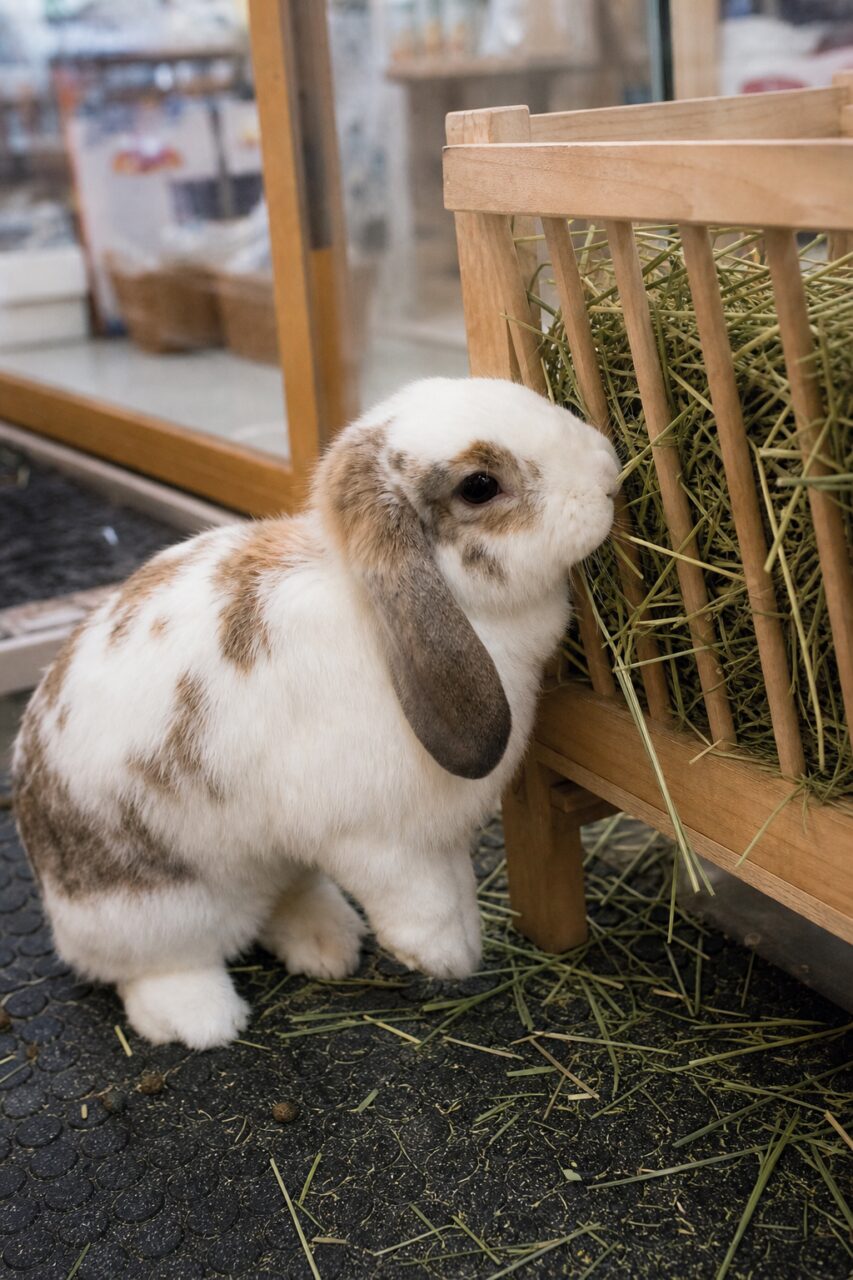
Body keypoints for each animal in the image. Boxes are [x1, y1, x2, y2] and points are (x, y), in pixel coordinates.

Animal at [12, 377, 620, 1050]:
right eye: (480, 486)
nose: (609, 473)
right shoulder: (377, 840)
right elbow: (423, 902)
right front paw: (446, 958)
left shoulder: (437, 837)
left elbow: (457, 885)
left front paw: (464, 938)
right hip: (152, 911)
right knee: (148, 968)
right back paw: (203, 1018)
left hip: (269, 860)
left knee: (283, 896)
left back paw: (329, 944)